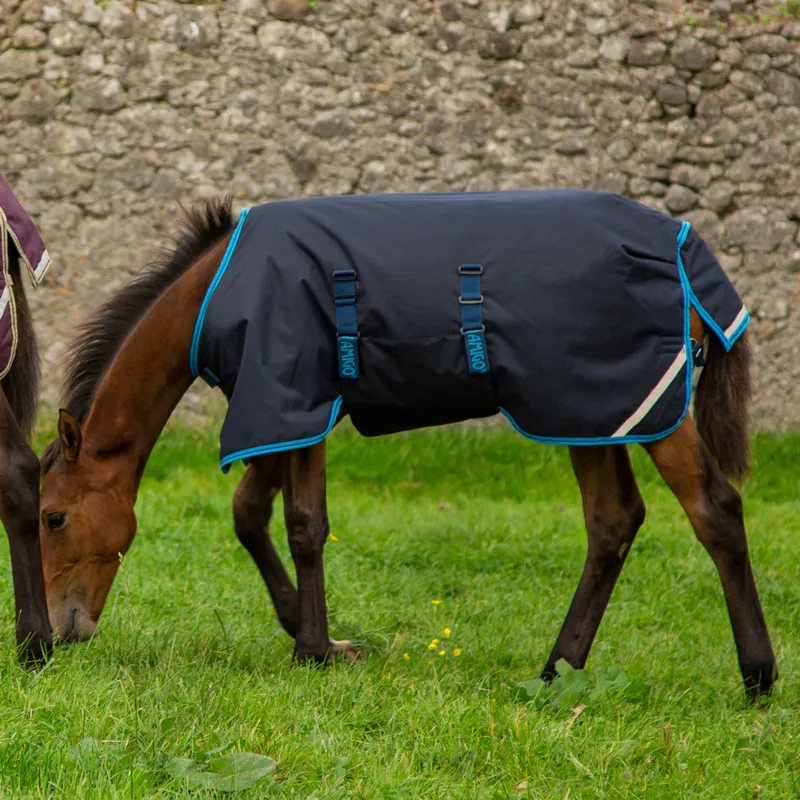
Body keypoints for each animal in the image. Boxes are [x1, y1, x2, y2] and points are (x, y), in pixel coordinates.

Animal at [39, 191, 777, 700]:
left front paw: (314, 649)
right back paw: (557, 671)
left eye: (53, 517)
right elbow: (251, 515)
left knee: (712, 509)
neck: (218, 289)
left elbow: (304, 525)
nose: (56, 636)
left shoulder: (299, 397)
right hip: (594, 411)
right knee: (614, 521)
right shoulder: (283, 412)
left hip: (637, 408)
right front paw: (313, 634)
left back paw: (758, 676)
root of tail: (685, 249)